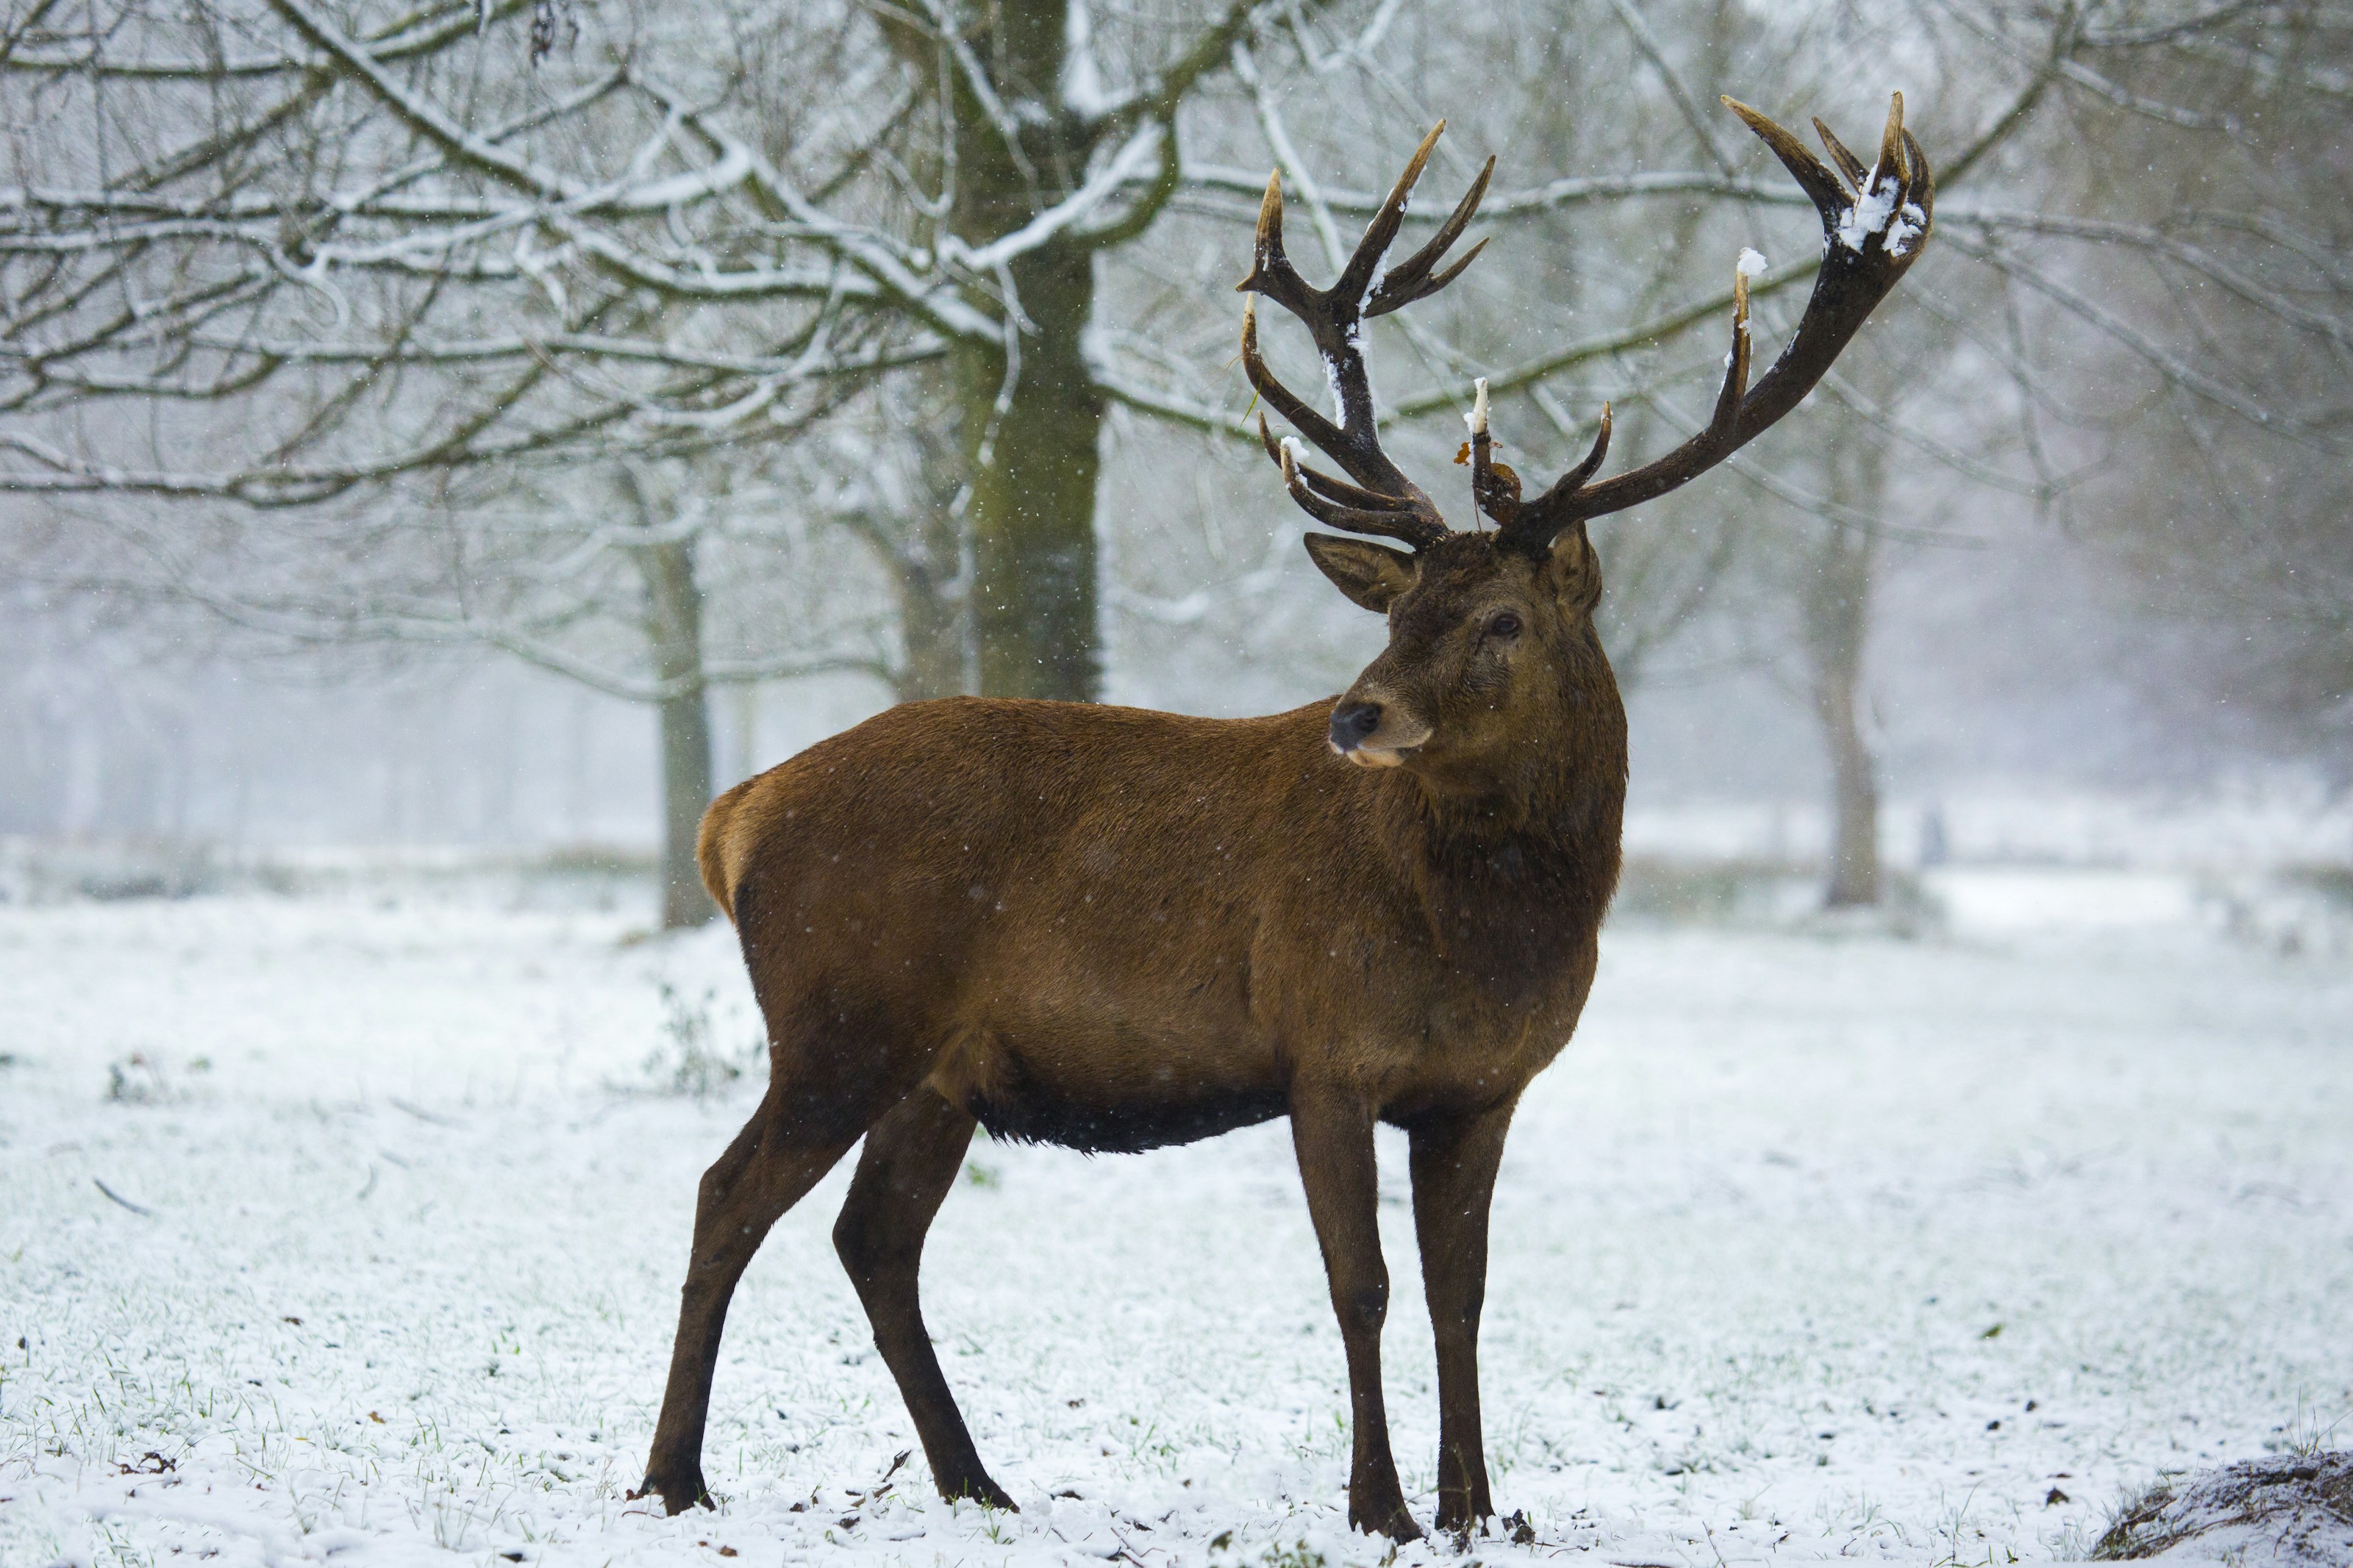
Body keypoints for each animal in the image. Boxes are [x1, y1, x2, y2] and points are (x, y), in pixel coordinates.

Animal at [635, 93, 1932, 1542]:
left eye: (1502, 619)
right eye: (1398, 607)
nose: (1358, 716)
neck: (1491, 934)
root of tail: (733, 816)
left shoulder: (1483, 1088)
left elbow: (1464, 1295)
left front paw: (1479, 1507)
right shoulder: (1326, 1048)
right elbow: (1360, 1285)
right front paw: (1382, 1507)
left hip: (938, 1067)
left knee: (873, 1237)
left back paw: (979, 1482)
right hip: (840, 1017)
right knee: (726, 1196)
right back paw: (676, 1475)